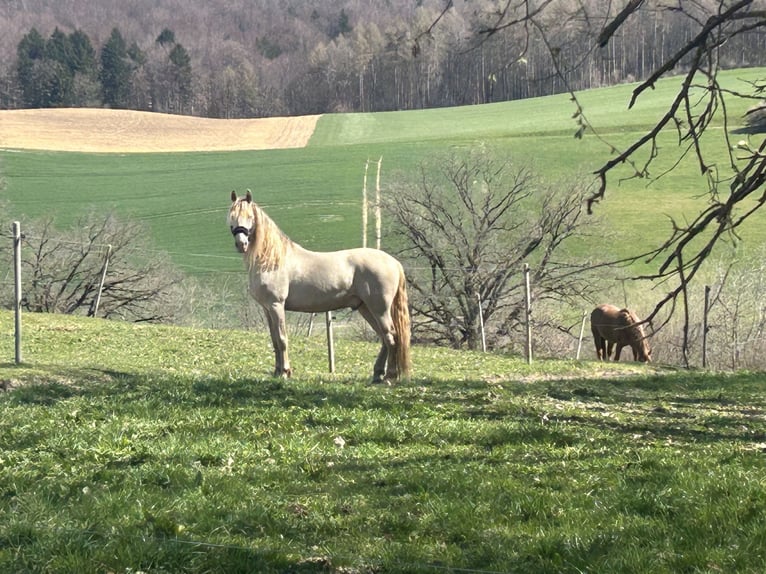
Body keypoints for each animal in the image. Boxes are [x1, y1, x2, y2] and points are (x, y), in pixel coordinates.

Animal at [228, 190, 411, 383]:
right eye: (231, 217)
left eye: (249, 216)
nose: (241, 244)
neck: (271, 261)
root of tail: (394, 263)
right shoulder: (267, 308)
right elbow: (274, 340)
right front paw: (277, 372)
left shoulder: (276, 305)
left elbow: (282, 339)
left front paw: (285, 372)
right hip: (365, 308)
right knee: (384, 338)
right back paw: (378, 374)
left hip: (379, 309)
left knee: (391, 337)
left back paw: (389, 376)